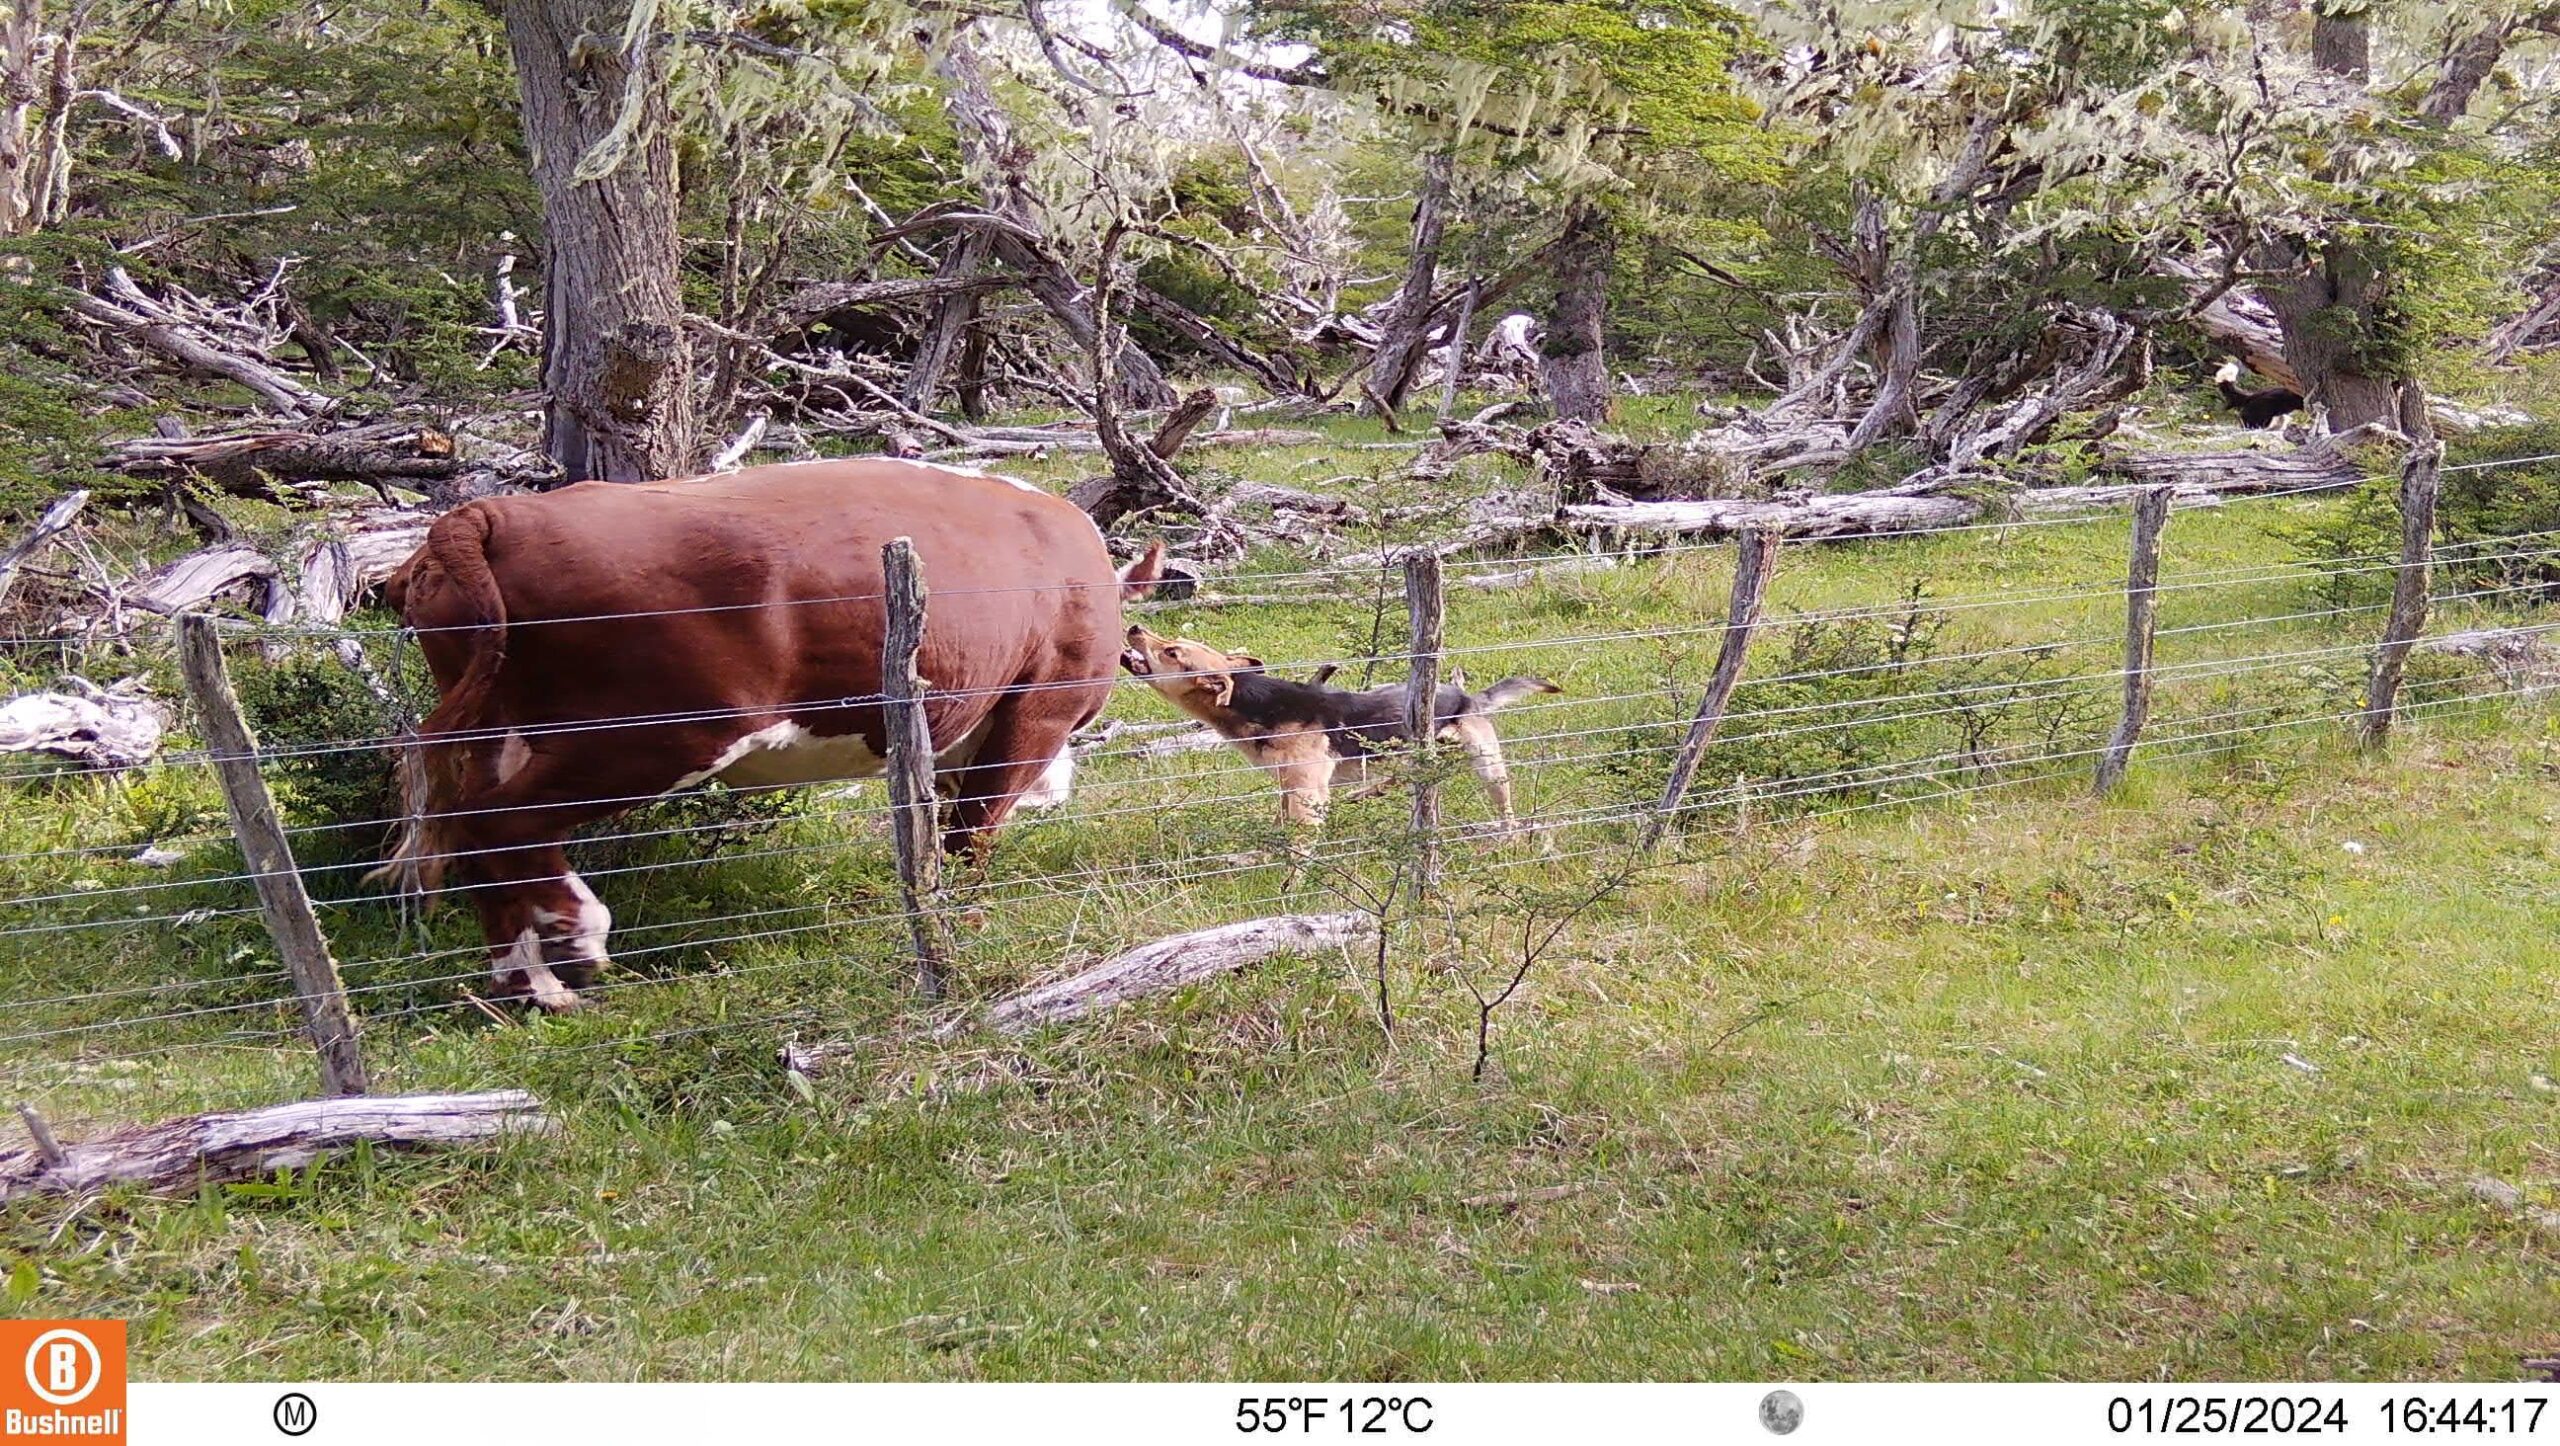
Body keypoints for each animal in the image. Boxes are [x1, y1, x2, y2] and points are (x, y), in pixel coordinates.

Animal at [373, 455, 1162, 1008]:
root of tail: (491, 513)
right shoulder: (1037, 711)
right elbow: (974, 832)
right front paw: (966, 924)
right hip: (653, 733)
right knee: (502, 822)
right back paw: (579, 940)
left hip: (496, 731)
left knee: (472, 830)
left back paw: (530, 987)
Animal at [1121, 619, 1556, 834]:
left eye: (1171, 651)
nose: (1135, 628)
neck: (1257, 707)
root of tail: (1468, 696)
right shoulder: (1287, 786)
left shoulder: (1307, 791)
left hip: (1489, 766)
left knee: (1507, 811)